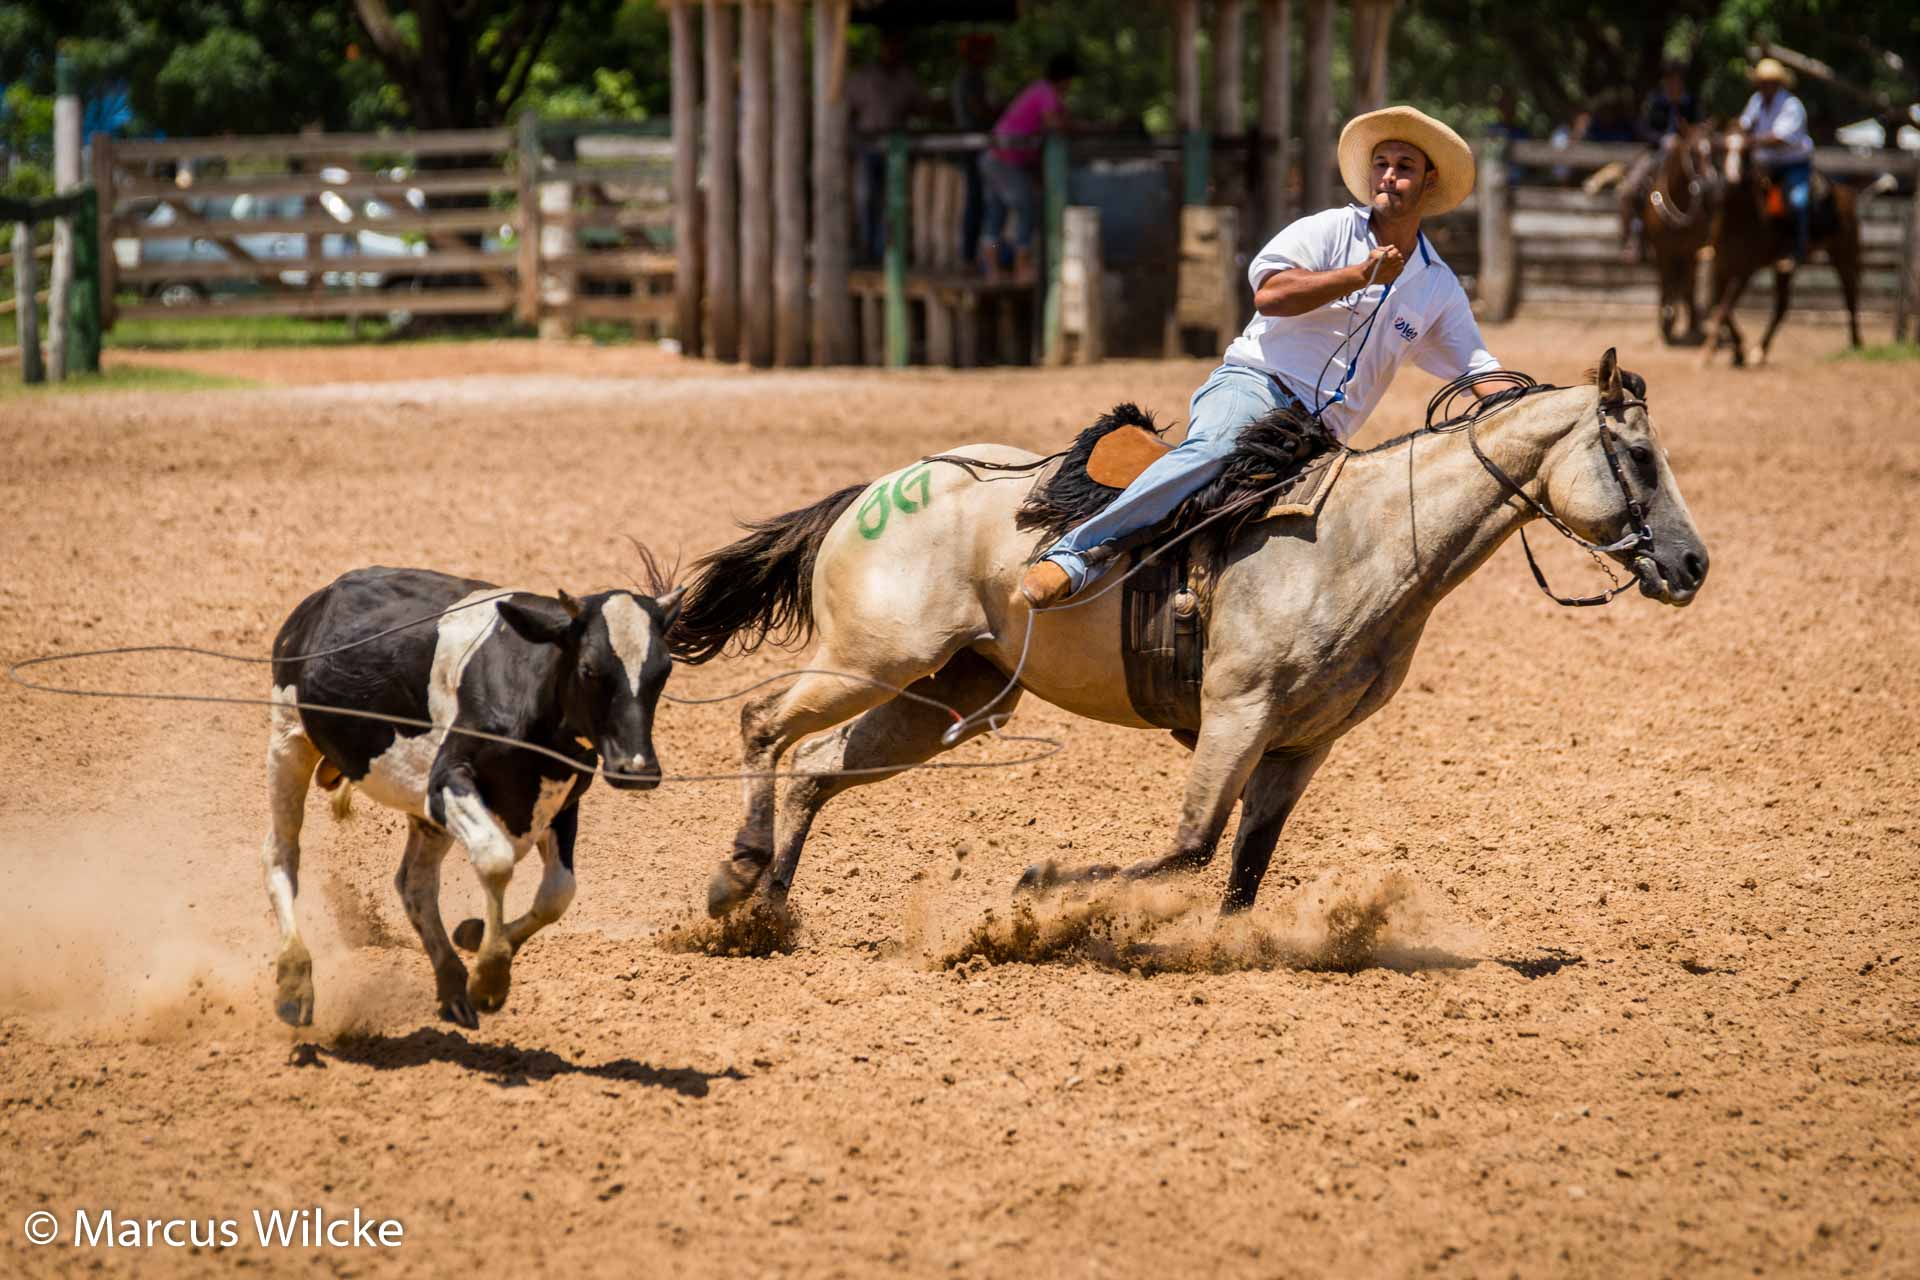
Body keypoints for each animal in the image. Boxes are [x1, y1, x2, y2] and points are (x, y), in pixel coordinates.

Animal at [263, 564, 683, 1028]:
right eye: (590, 669)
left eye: (664, 670)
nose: (638, 769)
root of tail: (321, 598)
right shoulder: (448, 779)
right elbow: (495, 859)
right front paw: (491, 976)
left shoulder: (564, 799)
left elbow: (557, 893)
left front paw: (477, 936)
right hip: (288, 739)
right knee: (281, 855)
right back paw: (294, 981)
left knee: (415, 883)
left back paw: (450, 982)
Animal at [672, 351, 1712, 921]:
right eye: (1637, 455)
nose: (1694, 564)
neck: (1362, 539)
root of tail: (878, 489)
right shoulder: (1235, 715)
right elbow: (1190, 846)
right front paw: (1042, 887)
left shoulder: (1302, 743)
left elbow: (1242, 865)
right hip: (872, 661)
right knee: (765, 725)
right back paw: (736, 877)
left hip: (942, 695)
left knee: (818, 768)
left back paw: (771, 911)